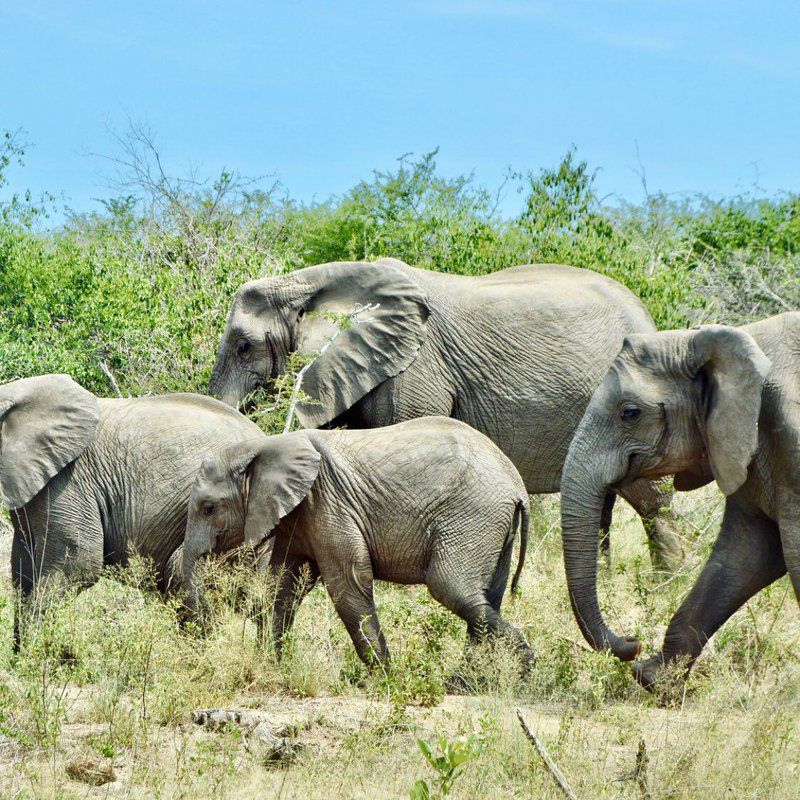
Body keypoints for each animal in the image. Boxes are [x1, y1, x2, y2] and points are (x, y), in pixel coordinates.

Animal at [181, 418, 532, 668]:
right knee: (486, 596)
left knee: (450, 587)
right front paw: (270, 664)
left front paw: (386, 677)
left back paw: (525, 665)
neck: (264, 445)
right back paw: (467, 683)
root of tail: (517, 486)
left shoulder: (327, 502)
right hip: (492, 524)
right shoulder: (300, 515)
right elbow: (282, 585)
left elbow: (347, 584)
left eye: (209, 508)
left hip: (473, 515)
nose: (204, 634)